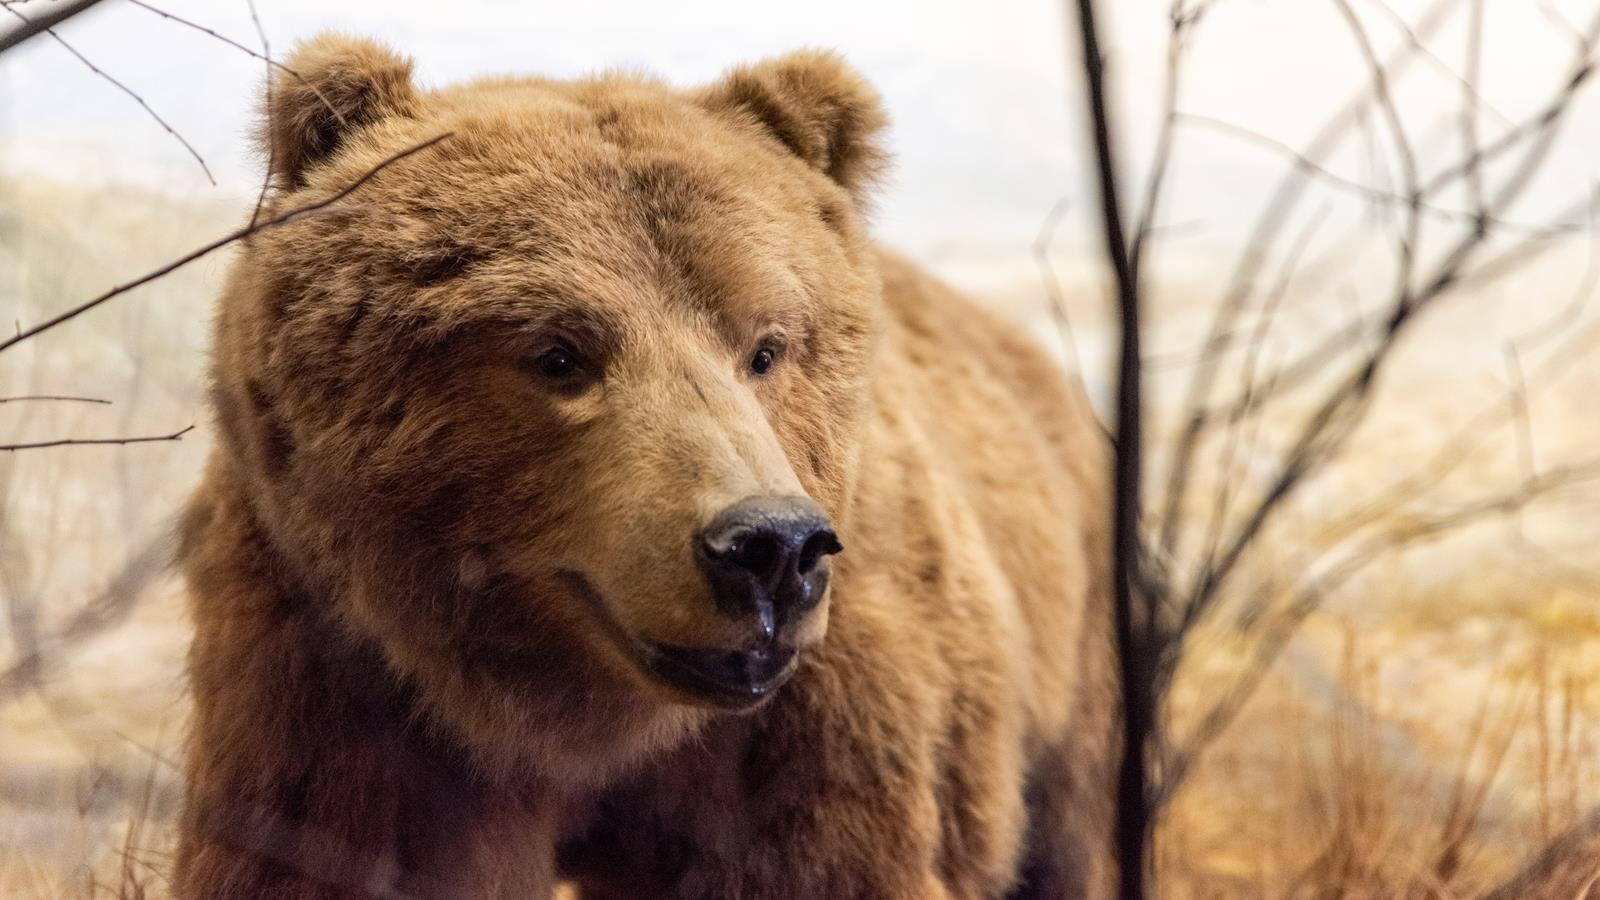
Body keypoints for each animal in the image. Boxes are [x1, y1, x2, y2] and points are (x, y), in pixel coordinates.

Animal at [174, 34, 1118, 900]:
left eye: (767, 346)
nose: (769, 549)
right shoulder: (339, 676)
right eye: (558, 353)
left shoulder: (812, 724)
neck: (584, 713)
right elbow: (320, 853)